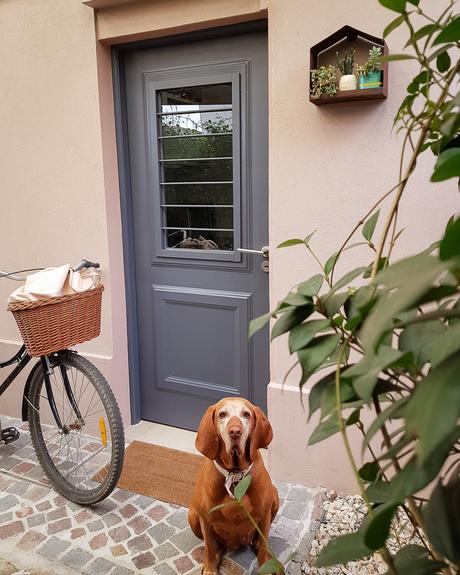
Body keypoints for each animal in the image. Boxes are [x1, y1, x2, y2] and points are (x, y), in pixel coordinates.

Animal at [188, 398, 280, 572]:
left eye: (246, 414)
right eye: (222, 414)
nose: (235, 432)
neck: (235, 474)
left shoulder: (265, 514)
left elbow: (264, 545)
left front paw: (267, 566)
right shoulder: (205, 518)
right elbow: (209, 548)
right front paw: (210, 569)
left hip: (275, 495)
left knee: (258, 542)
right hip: (192, 514)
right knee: (215, 546)